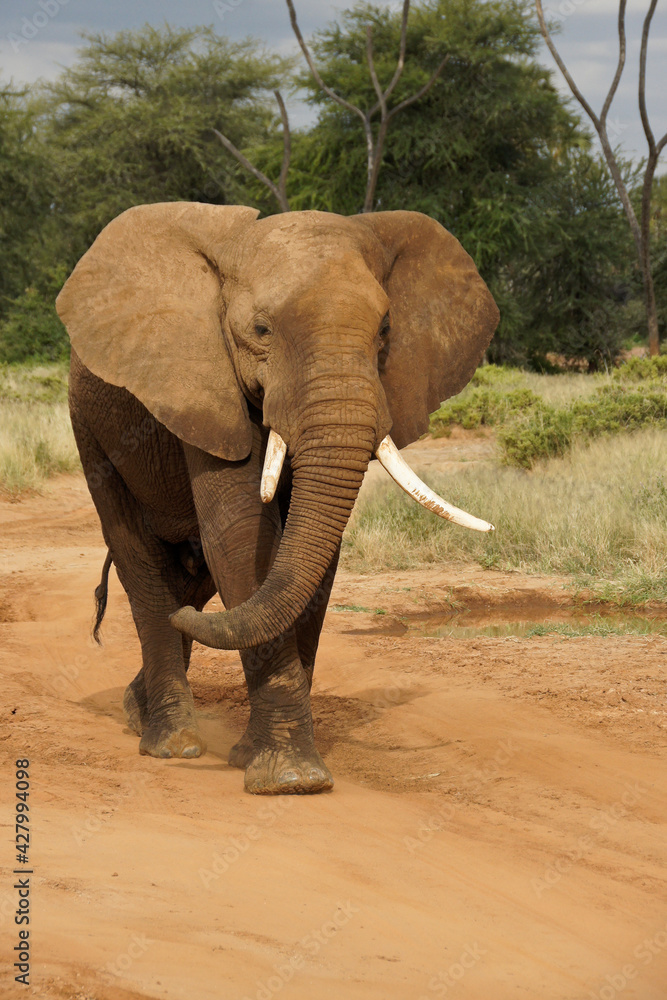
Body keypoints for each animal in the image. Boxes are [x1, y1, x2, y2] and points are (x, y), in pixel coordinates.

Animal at [56, 203, 499, 795]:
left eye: (385, 330)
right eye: (260, 331)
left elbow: (312, 556)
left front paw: (259, 760)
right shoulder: (205, 386)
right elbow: (242, 536)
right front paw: (291, 779)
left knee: (192, 582)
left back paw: (140, 706)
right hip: (90, 427)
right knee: (140, 563)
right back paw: (173, 743)